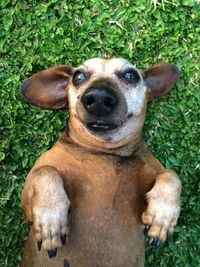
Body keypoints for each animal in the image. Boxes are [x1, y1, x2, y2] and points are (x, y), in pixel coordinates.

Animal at [19, 59, 181, 267]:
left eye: (130, 75)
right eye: (78, 76)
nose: (98, 97)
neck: (106, 152)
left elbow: (171, 174)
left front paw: (162, 216)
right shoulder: (26, 206)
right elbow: (46, 171)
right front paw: (50, 221)